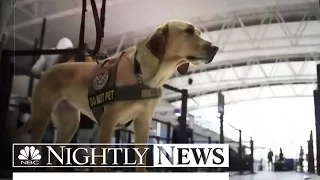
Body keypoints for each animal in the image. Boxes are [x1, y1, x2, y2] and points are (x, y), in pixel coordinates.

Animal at [13, 20, 218, 172]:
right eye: (189, 31)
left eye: (198, 32)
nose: (215, 47)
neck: (142, 74)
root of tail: (50, 70)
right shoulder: (109, 120)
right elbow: (101, 163)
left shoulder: (143, 123)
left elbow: (141, 163)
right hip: (42, 117)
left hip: (69, 125)